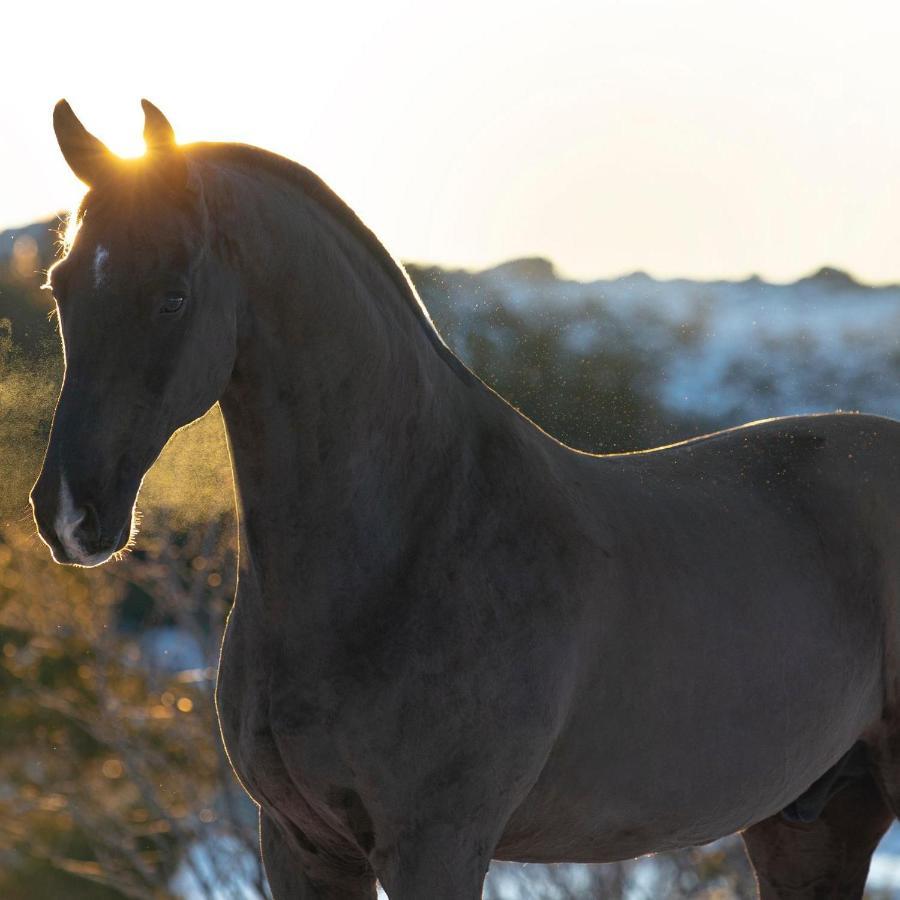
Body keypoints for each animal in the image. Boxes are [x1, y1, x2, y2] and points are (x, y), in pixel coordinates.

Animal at [29, 102, 900, 896]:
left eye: (172, 295)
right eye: (60, 285)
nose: (70, 512)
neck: (411, 537)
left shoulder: (436, 846)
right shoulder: (301, 845)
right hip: (812, 824)